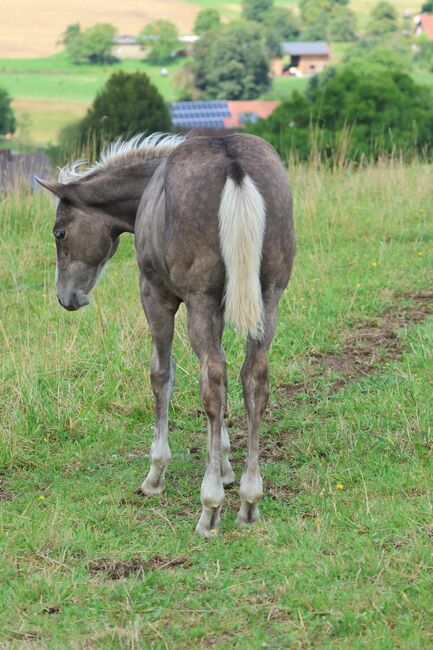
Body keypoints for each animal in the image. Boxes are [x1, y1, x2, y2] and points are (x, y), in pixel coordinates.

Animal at [37, 132, 296, 536]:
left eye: (59, 232)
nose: (67, 297)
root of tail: (233, 162)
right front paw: (225, 467)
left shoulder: (156, 294)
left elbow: (162, 374)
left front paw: (156, 473)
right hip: (268, 298)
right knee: (253, 378)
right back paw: (250, 501)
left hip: (199, 300)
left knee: (213, 382)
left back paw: (210, 508)